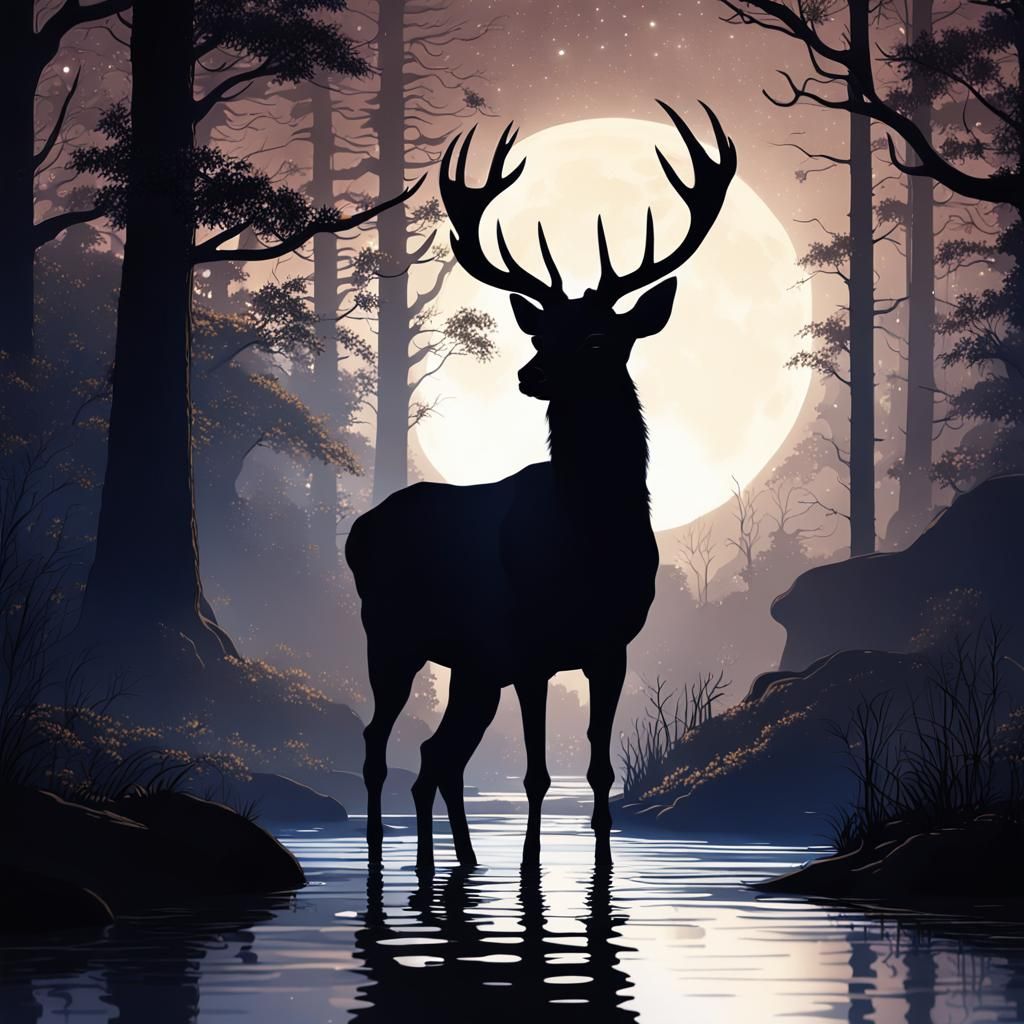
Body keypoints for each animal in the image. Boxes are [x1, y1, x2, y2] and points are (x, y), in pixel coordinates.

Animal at [346, 101, 736, 871]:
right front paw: (530, 875)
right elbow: (535, 773)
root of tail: (357, 531)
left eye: (596, 339)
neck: (588, 542)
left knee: (436, 757)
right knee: (380, 744)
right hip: (392, 633)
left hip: (472, 667)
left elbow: (600, 769)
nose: (530, 376)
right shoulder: (530, 648)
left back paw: (457, 862)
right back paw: (380, 858)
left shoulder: (611, 647)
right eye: (538, 335)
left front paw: (603, 869)